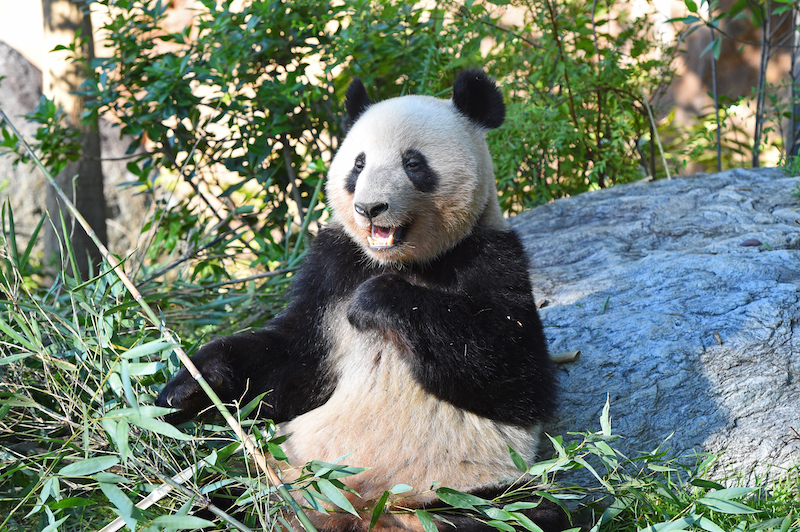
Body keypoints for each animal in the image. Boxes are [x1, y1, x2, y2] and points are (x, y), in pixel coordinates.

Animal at [156, 71, 564, 532]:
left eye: (413, 163)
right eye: (358, 164)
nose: (371, 208)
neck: (400, 260)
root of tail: (360, 509)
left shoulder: (492, 256)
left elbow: (513, 372)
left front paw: (374, 300)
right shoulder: (333, 268)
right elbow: (293, 364)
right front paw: (186, 388)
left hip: (466, 489)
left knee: (520, 513)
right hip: (276, 477)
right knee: (212, 496)